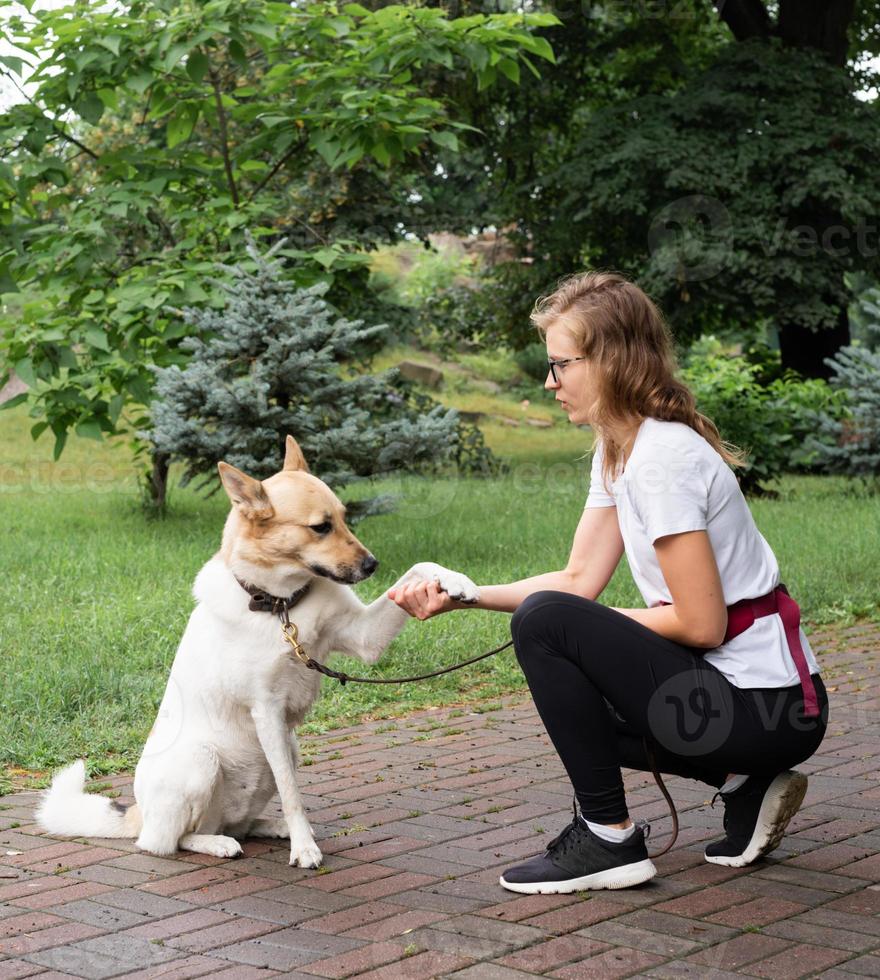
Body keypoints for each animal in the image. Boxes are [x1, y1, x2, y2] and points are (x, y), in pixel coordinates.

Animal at [37, 436, 478, 864]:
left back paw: (267, 828)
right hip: (202, 760)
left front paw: (459, 583)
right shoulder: (267, 710)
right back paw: (218, 844)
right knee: (165, 842)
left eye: (344, 517)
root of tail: (138, 814)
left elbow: (421, 567)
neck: (282, 606)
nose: (372, 565)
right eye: (320, 527)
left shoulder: (363, 638)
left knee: (239, 826)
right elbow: (293, 794)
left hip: (287, 748)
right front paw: (304, 849)